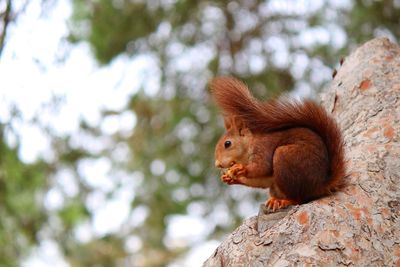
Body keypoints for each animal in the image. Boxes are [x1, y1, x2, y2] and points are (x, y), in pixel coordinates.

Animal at [211, 76, 346, 213]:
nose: (217, 164)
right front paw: (230, 178)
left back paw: (286, 201)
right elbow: (261, 181)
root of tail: (320, 185)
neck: (250, 144)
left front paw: (240, 168)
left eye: (227, 144)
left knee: (298, 198)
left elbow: (261, 167)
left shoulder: (263, 148)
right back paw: (274, 200)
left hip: (286, 157)